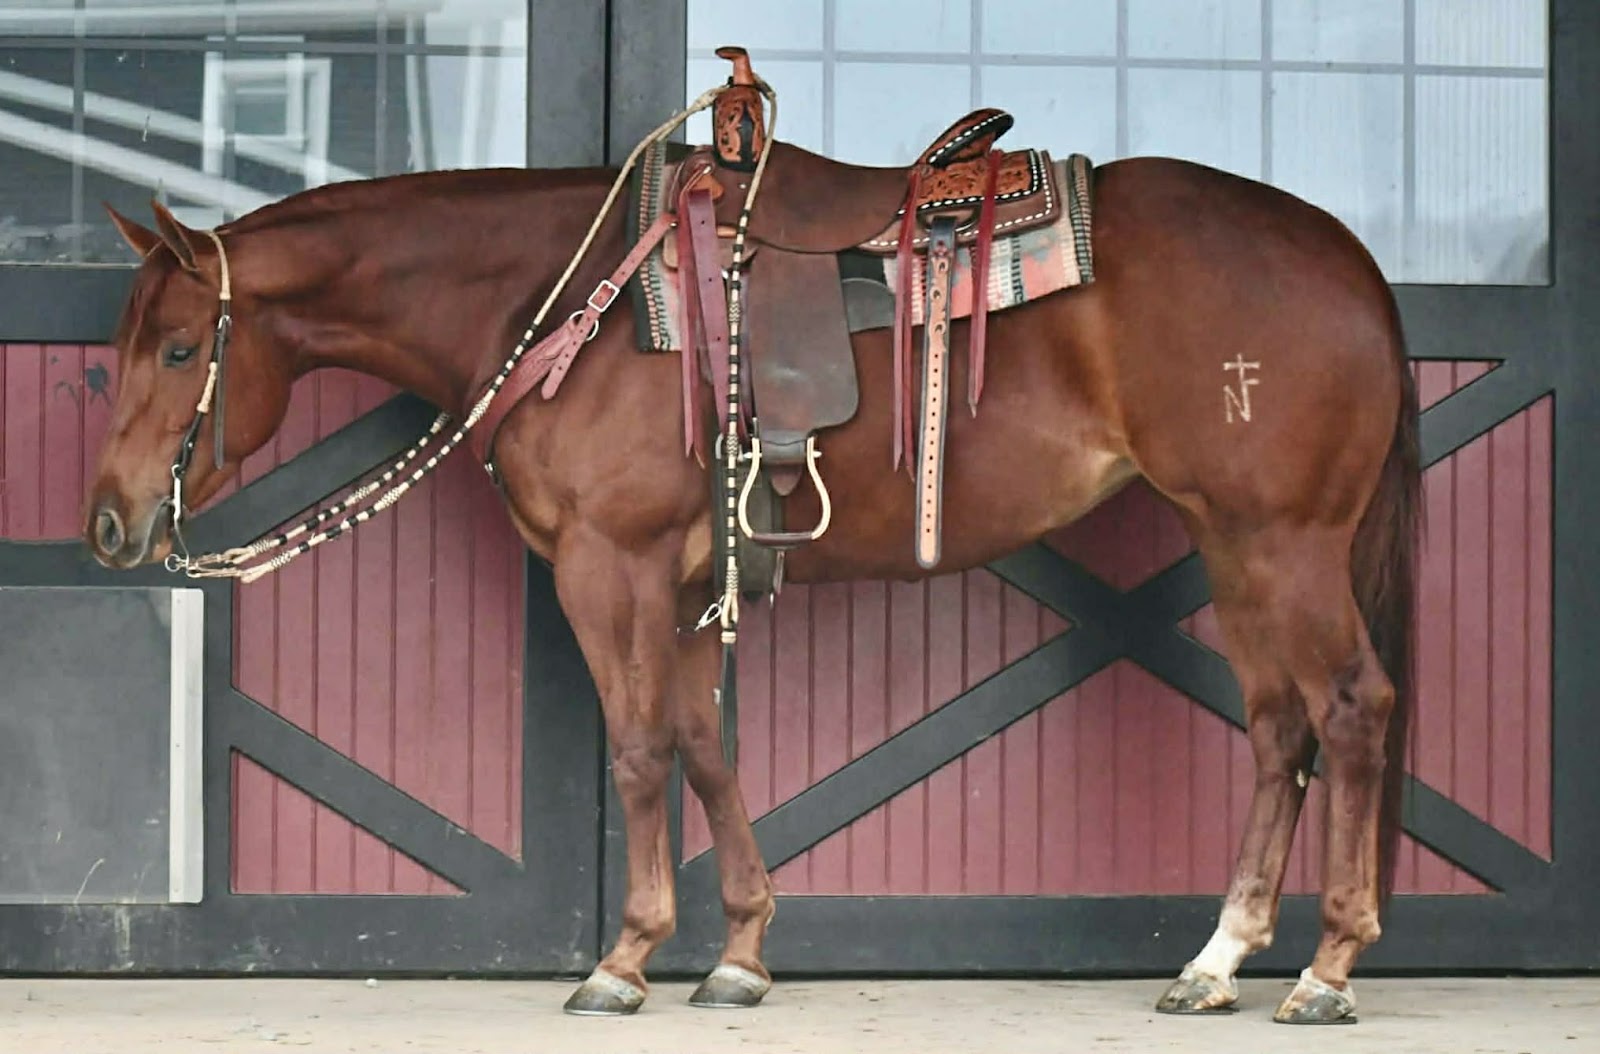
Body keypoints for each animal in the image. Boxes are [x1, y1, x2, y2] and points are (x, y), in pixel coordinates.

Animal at [80, 88, 1419, 1025]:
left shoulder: (607, 568)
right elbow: (705, 749)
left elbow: (637, 752)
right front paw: (737, 953)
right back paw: (1217, 960)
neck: (568, 298)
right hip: (1233, 546)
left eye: (179, 347)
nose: (107, 522)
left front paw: (622, 961)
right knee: (1278, 731)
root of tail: (1352, 261)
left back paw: (1326, 970)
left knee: (1352, 709)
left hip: (1284, 542)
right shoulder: (678, 586)